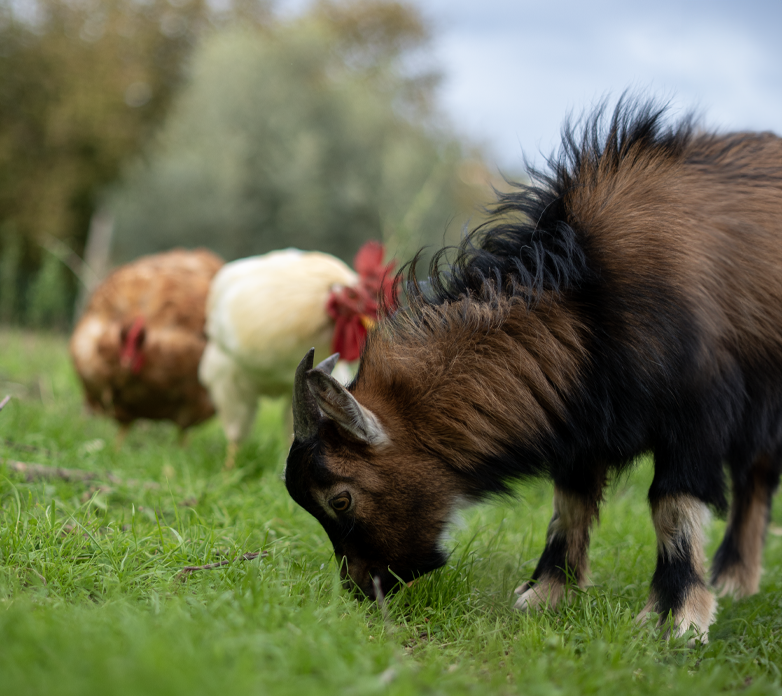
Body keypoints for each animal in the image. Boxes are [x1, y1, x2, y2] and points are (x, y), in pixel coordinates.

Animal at [286, 100, 782, 640]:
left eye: (340, 500)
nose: (361, 588)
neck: (589, 303)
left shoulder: (695, 415)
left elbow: (671, 504)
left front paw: (676, 616)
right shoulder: (582, 421)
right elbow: (569, 504)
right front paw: (546, 593)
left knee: (756, 474)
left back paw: (733, 579)